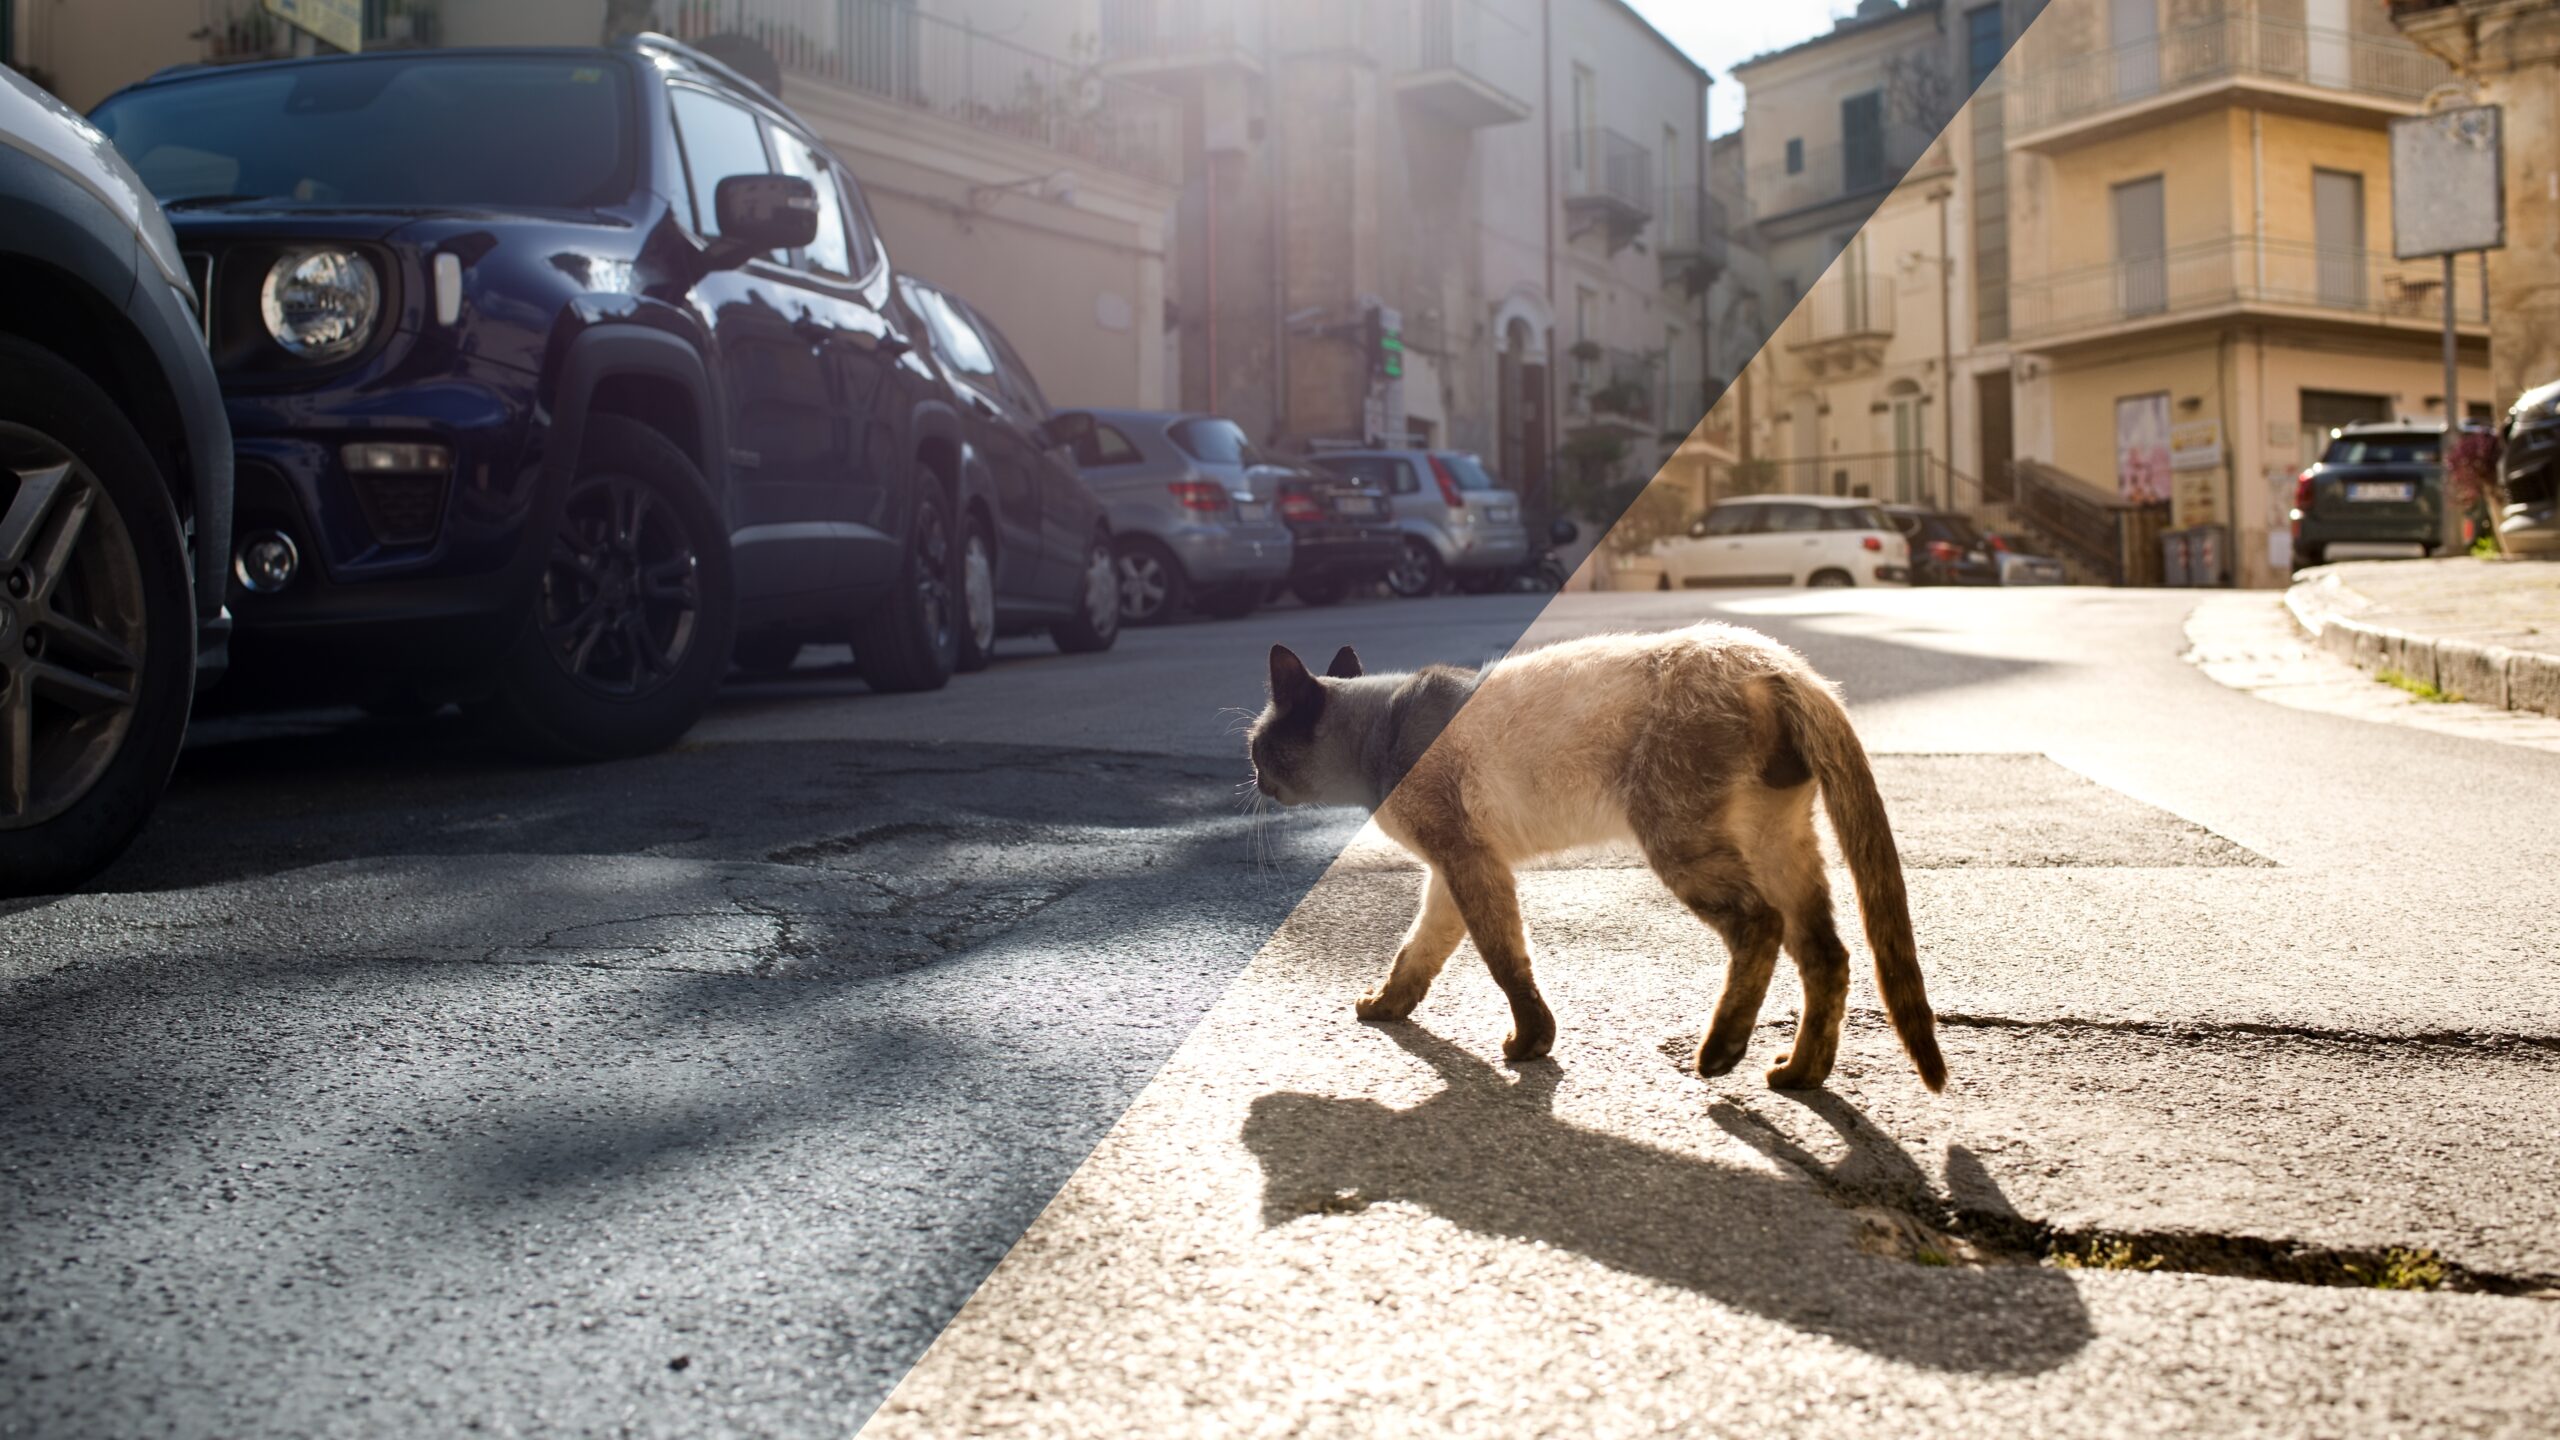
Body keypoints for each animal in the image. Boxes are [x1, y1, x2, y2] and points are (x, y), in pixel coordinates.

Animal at [1249, 620, 1945, 1086]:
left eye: (1257, 746)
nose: (1251, 777)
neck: (1378, 733)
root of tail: (1777, 662)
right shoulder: (1452, 872)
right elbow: (1417, 954)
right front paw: (1385, 1010)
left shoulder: (1467, 862)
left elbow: (1503, 959)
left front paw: (1530, 1044)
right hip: (1776, 843)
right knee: (1827, 954)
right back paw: (1798, 1075)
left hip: (1679, 842)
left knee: (1760, 925)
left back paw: (1719, 1056)